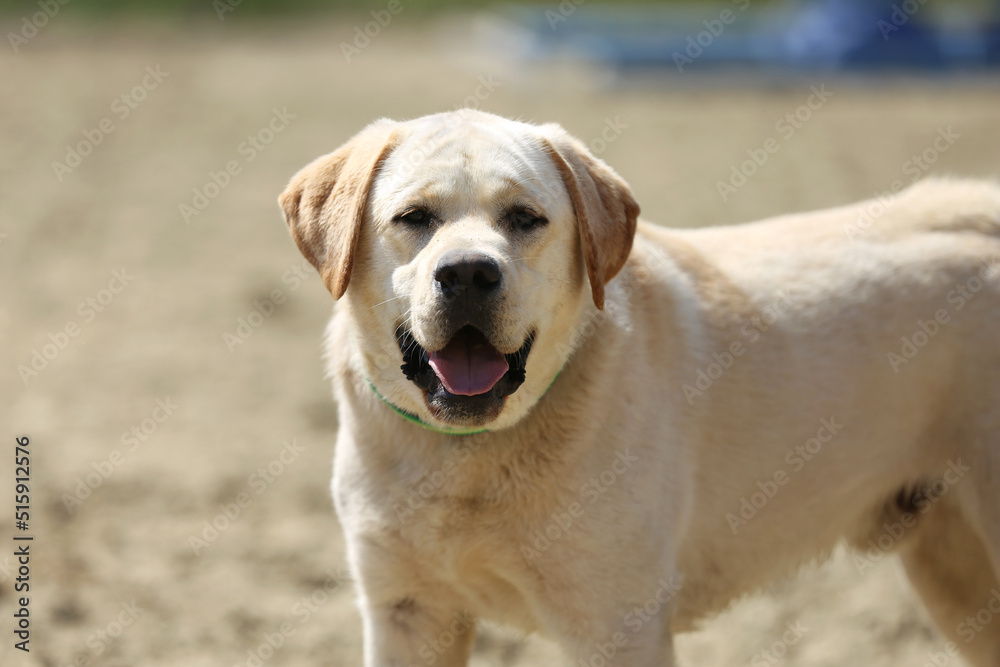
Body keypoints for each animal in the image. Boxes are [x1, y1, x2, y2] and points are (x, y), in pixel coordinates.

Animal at [280, 111, 1000, 667]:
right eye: (414, 217)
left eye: (524, 218)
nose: (467, 274)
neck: (468, 459)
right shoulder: (406, 611)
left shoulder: (616, 624)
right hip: (952, 572)